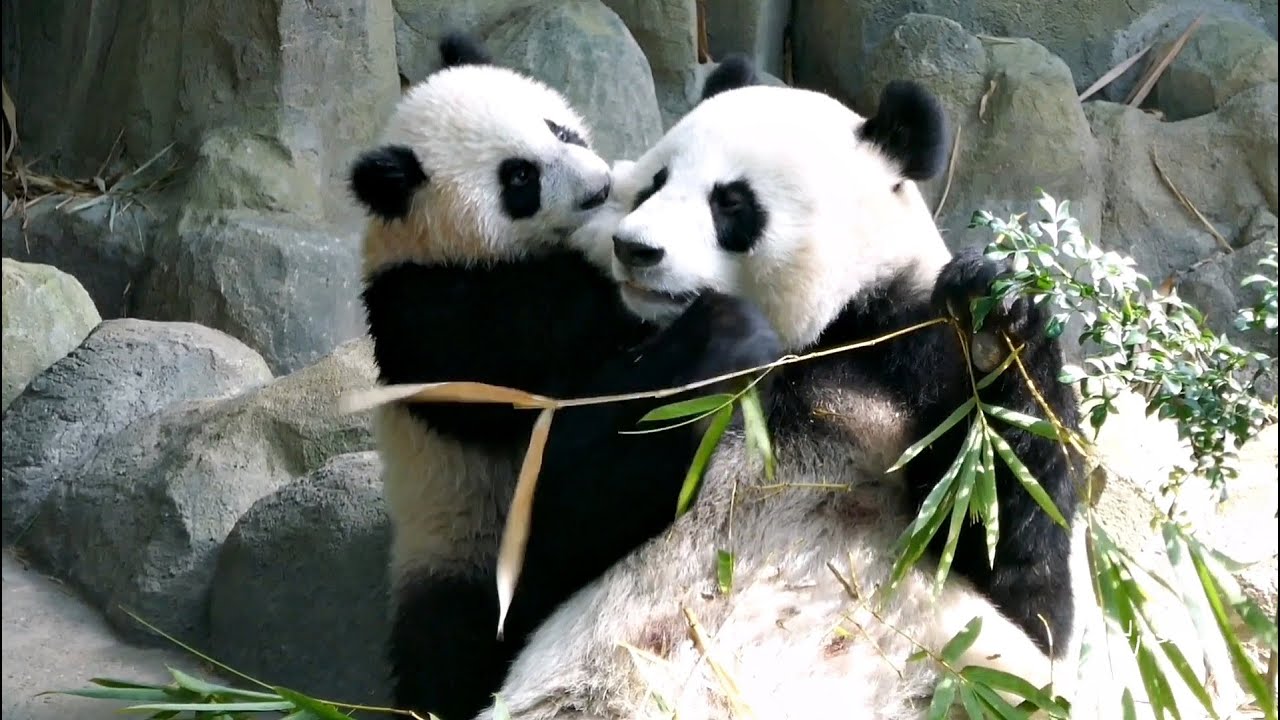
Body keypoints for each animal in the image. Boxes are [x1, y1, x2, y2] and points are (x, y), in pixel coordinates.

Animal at [349, 35, 783, 720]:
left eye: (560, 130)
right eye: (519, 177)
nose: (598, 185)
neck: (429, 241)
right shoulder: (429, 317)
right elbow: (560, 367)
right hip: (468, 546)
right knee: (450, 646)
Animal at [474, 64, 1086, 719]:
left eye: (732, 202)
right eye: (654, 184)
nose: (634, 247)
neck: (820, 336)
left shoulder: (907, 357)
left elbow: (1022, 577)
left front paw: (994, 317)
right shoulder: (601, 343)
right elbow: (546, 524)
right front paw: (726, 336)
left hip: (968, 682)